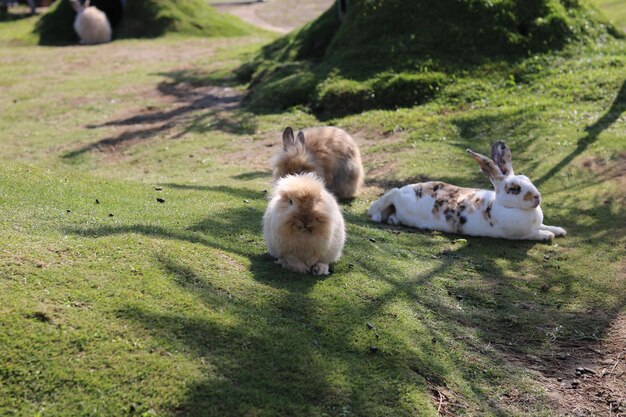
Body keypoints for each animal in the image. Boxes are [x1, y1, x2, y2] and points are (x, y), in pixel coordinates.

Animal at [366, 141, 564, 240]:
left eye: (528, 179)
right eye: (514, 189)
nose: (537, 197)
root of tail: (407, 190)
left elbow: (544, 225)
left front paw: (559, 230)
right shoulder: (518, 234)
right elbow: (535, 233)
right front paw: (548, 236)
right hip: (400, 199)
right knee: (392, 192)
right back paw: (375, 214)